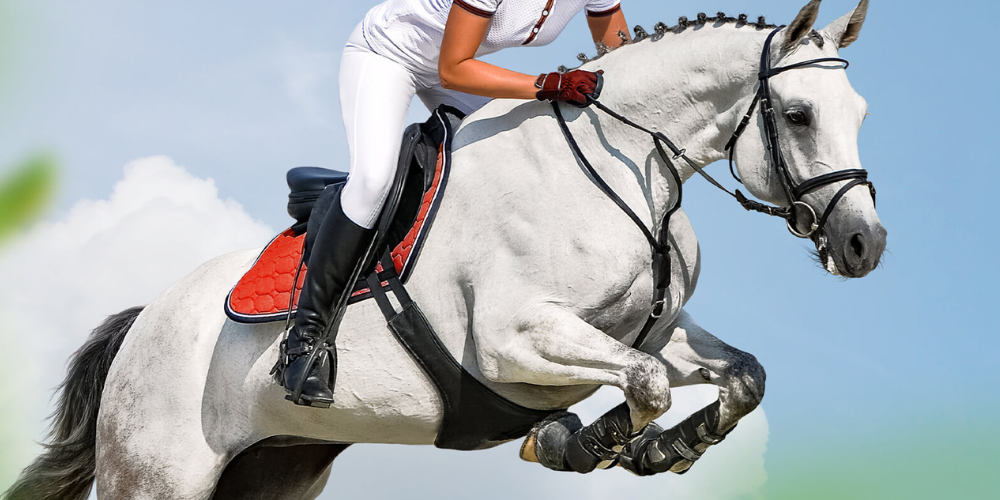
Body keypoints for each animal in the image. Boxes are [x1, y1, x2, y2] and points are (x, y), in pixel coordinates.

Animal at [4, 1, 884, 498]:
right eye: (799, 114)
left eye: (862, 111)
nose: (864, 244)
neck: (628, 168)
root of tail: (144, 319)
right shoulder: (510, 339)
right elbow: (642, 385)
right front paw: (578, 440)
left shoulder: (655, 330)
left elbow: (738, 376)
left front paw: (671, 445)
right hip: (158, 472)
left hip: (271, 468)